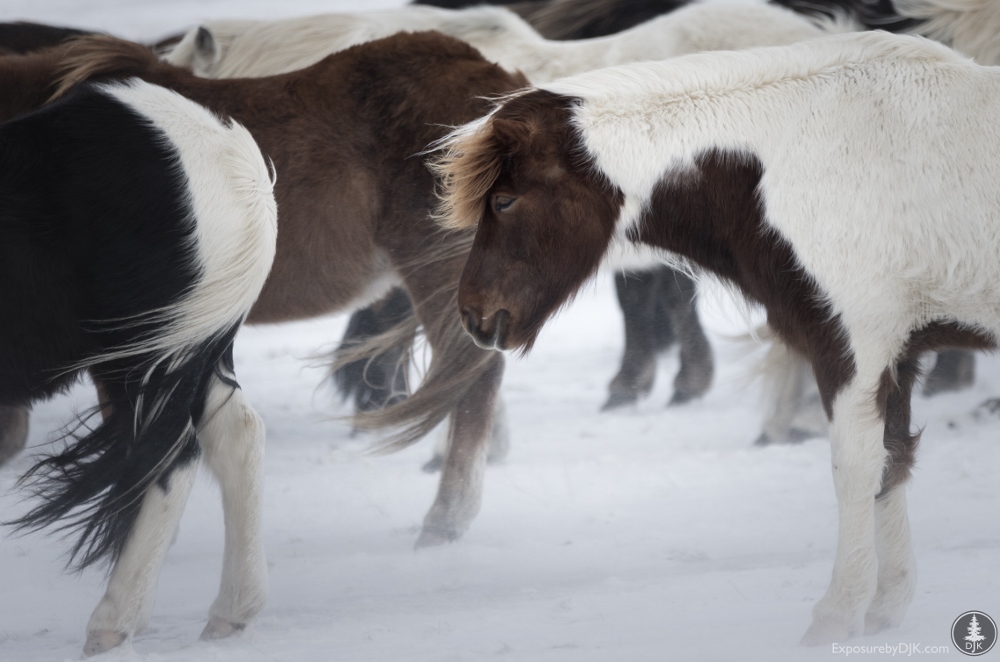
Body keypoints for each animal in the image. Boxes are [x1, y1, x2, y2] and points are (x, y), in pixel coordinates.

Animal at [4, 80, 278, 656]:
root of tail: (231, 163)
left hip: (144, 362)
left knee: (172, 461)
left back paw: (114, 622)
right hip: (195, 354)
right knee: (238, 437)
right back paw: (233, 610)